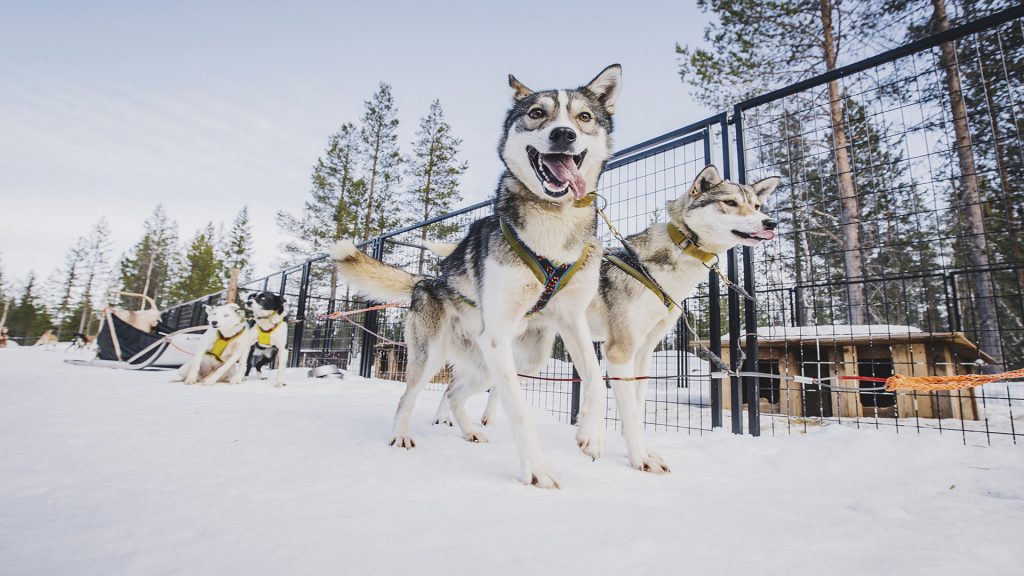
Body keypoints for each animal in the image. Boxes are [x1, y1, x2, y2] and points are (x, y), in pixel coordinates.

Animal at [335, 63, 622, 483]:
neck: (552, 225)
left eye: (583, 117)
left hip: (505, 359)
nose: (563, 134)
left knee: (453, 392)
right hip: (436, 355)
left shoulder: (570, 319)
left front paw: (592, 436)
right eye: (537, 113)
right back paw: (400, 436)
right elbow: (518, 409)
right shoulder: (499, 333)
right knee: (408, 396)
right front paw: (537, 471)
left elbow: (595, 380)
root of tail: (428, 281)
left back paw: (469, 430)